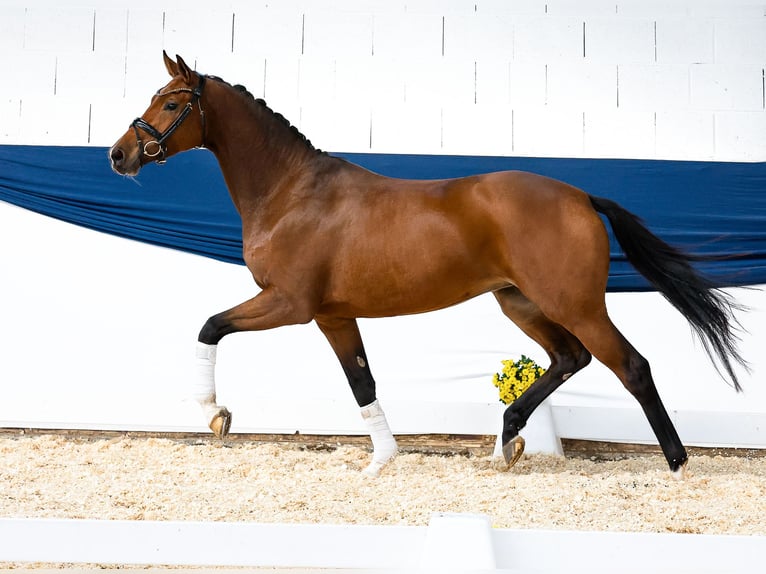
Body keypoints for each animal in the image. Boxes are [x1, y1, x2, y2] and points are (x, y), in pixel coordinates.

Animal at [111, 54, 748, 480]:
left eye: (172, 103)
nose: (119, 155)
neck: (291, 192)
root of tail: (581, 197)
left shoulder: (289, 304)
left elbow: (210, 327)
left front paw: (215, 415)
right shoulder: (333, 316)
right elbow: (362, 381)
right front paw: (381, 462)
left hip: (575, 304)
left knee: (630, 366)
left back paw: (676, 464)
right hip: (521, 302)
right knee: (570, 358)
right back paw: (507, 439)